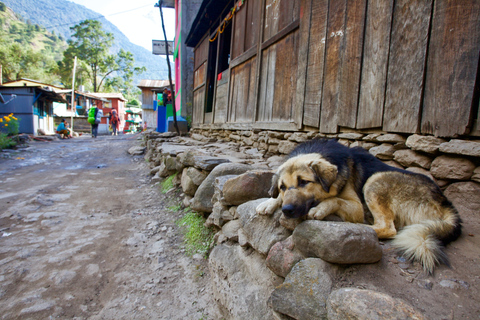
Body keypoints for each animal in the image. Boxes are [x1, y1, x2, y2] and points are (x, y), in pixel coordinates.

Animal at [256, 138, 464, 272]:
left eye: (304, 182)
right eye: (282, 187)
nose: (287, 211)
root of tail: (446, 203)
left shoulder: (356, 206)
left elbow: (335, 199)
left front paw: (321, 208)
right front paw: (269, 202)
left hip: (375, 180)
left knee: (388, 228)